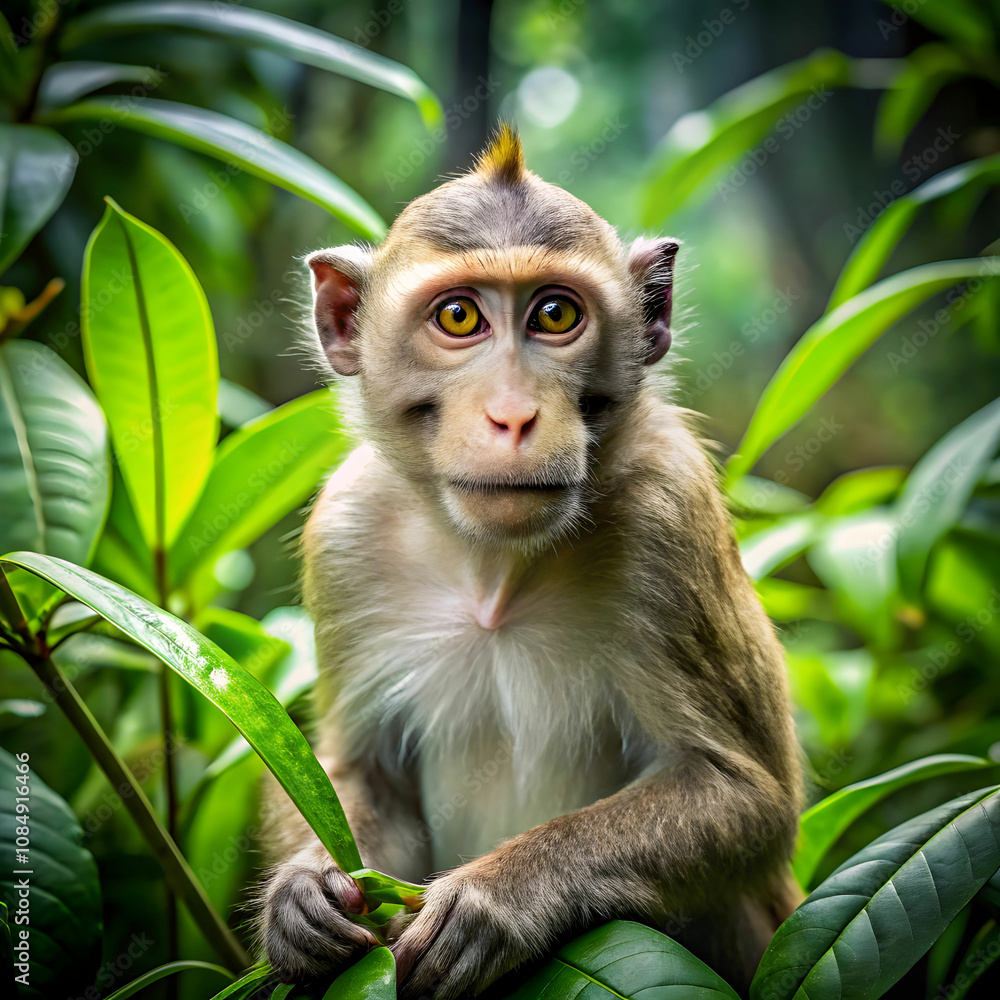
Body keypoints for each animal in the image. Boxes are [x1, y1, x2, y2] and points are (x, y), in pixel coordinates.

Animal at [256, 124, 803, 999]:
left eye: (554, 314)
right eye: (458, 316)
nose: (513, 415)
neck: (494, 568)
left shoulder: (671, 515)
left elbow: (745, 798)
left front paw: (497, 898)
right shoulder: (345, 532)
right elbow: (358, 772)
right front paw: (303, 897)